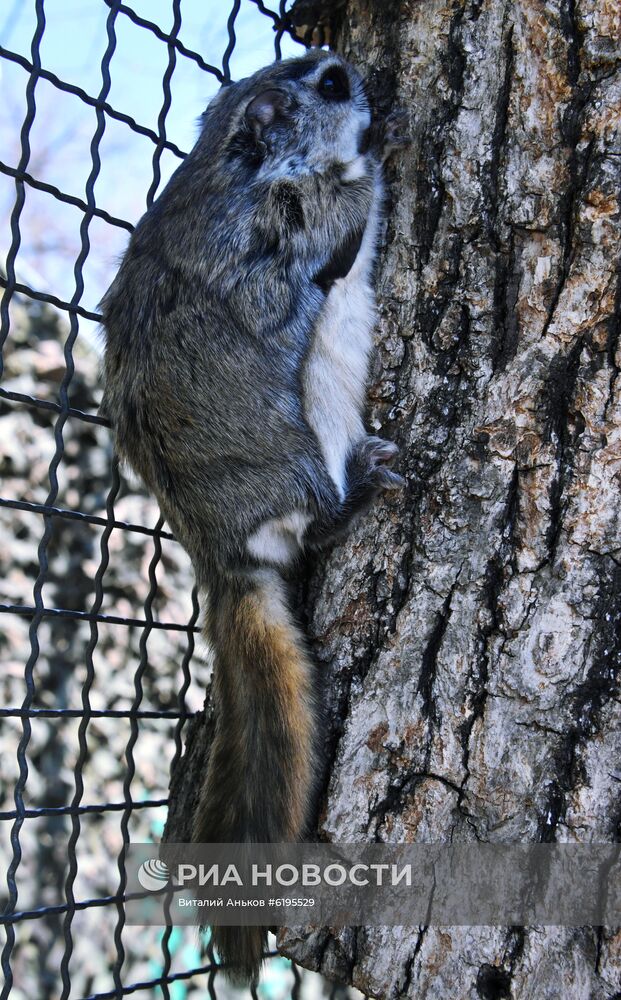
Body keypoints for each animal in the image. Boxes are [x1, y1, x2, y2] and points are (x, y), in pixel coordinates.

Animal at [101, 48, 406, 984]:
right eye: (330, 80)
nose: (369, 73)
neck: (237, 164)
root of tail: (223, 555)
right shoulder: (285, 224)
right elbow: (348, 211)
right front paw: (385, 139)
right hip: (303, 452)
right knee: (321, 518)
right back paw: (360, 488)